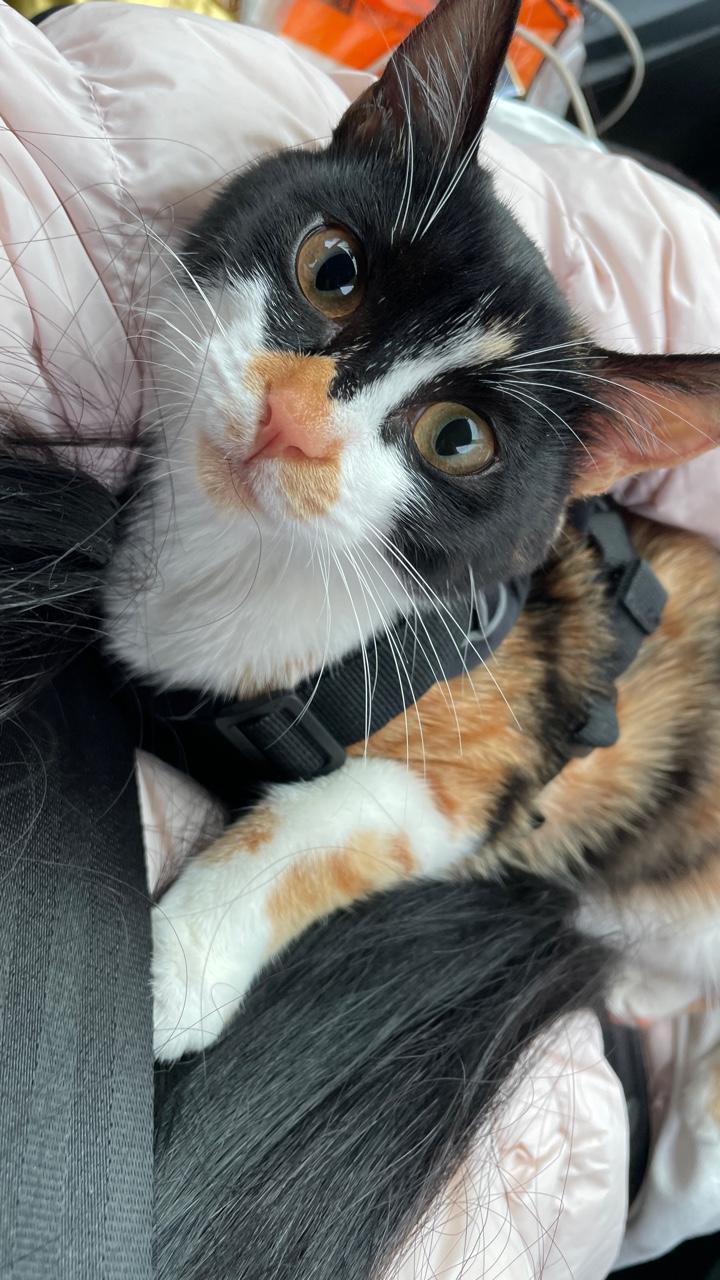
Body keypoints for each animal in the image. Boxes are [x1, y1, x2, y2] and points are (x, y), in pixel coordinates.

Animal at [101, 0, 720, 1063]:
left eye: (458, 438)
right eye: (334, 270)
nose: (292, 423)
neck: (251, 563)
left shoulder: (489, 755)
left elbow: (338, 822)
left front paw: (175, 967)